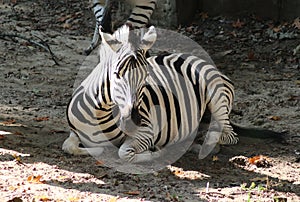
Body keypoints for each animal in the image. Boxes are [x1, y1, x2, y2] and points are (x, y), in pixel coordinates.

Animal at [63, 24, 284, 163]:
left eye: (146, 77)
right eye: (117, 75)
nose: (134, 120)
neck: (100, 114)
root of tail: (197, 58)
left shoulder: (147, 132)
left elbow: (123, 152)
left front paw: (155, 153)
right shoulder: (75, 132)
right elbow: (69, 146)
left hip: (217, 97)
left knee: (227, 136)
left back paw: (199, 143)